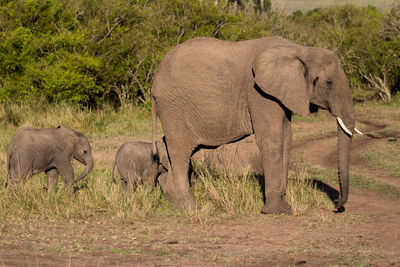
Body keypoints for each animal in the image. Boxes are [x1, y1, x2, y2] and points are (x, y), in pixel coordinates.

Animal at [152, 36, 362, 216]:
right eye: (329, 82)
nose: (336, 205)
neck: (299, 49)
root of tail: (155, 78)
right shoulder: (259, 92)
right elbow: (272, 139)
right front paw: (276, 211)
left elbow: (286, 139)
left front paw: (284, 207)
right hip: (174, 106)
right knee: (180, 151)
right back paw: (189, 207)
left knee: (177, 149)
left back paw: (173, 202)